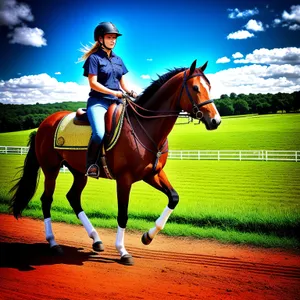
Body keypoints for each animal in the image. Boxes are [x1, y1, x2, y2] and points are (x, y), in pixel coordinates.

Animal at [9, 59, 220, 266]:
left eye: (209, 86)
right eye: (195, 87)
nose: (216, 120)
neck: (145, 127)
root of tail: (44, 124)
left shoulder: (153, 174)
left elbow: (174, 198)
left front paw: (147, 236)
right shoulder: (124, 179)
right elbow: (123, 214)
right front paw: (123, 251)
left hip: (79, 172)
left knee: (73, 197)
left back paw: (96, 239)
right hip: (51, 170)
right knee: (47, 200)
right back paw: (53, 243)